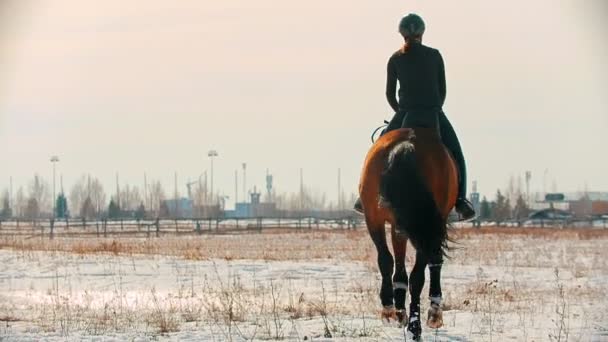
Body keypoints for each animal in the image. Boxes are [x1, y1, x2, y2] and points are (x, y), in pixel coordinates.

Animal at [356, 126, 456, 340]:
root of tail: (406, 144)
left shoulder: (397, 225)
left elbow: (398, 266)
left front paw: (399, 308)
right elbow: (431, 264)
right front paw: (433, 311)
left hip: (374, 218)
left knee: (386, 259)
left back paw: (390, 309)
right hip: (425, 225)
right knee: (420, 273)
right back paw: (415, 325)